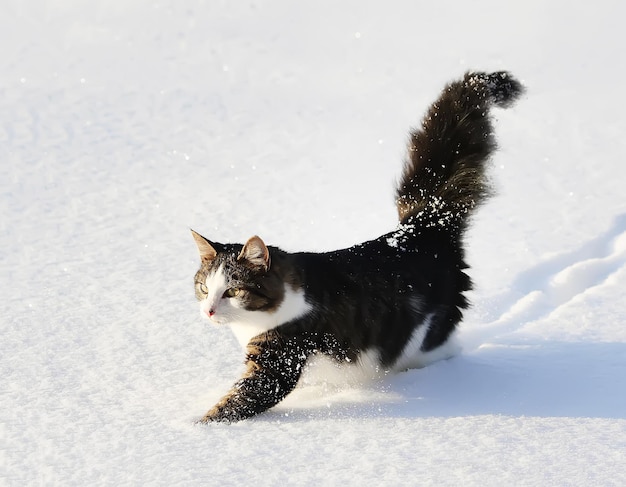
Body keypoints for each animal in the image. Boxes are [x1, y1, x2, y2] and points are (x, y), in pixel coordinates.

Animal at [190, 71, 520, 424]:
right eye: (203, 288)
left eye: (233, 291)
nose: (209, 310)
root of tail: (421, 227)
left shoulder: (281, 357)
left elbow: (236, 402)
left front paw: (195, 427)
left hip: (426, 333)